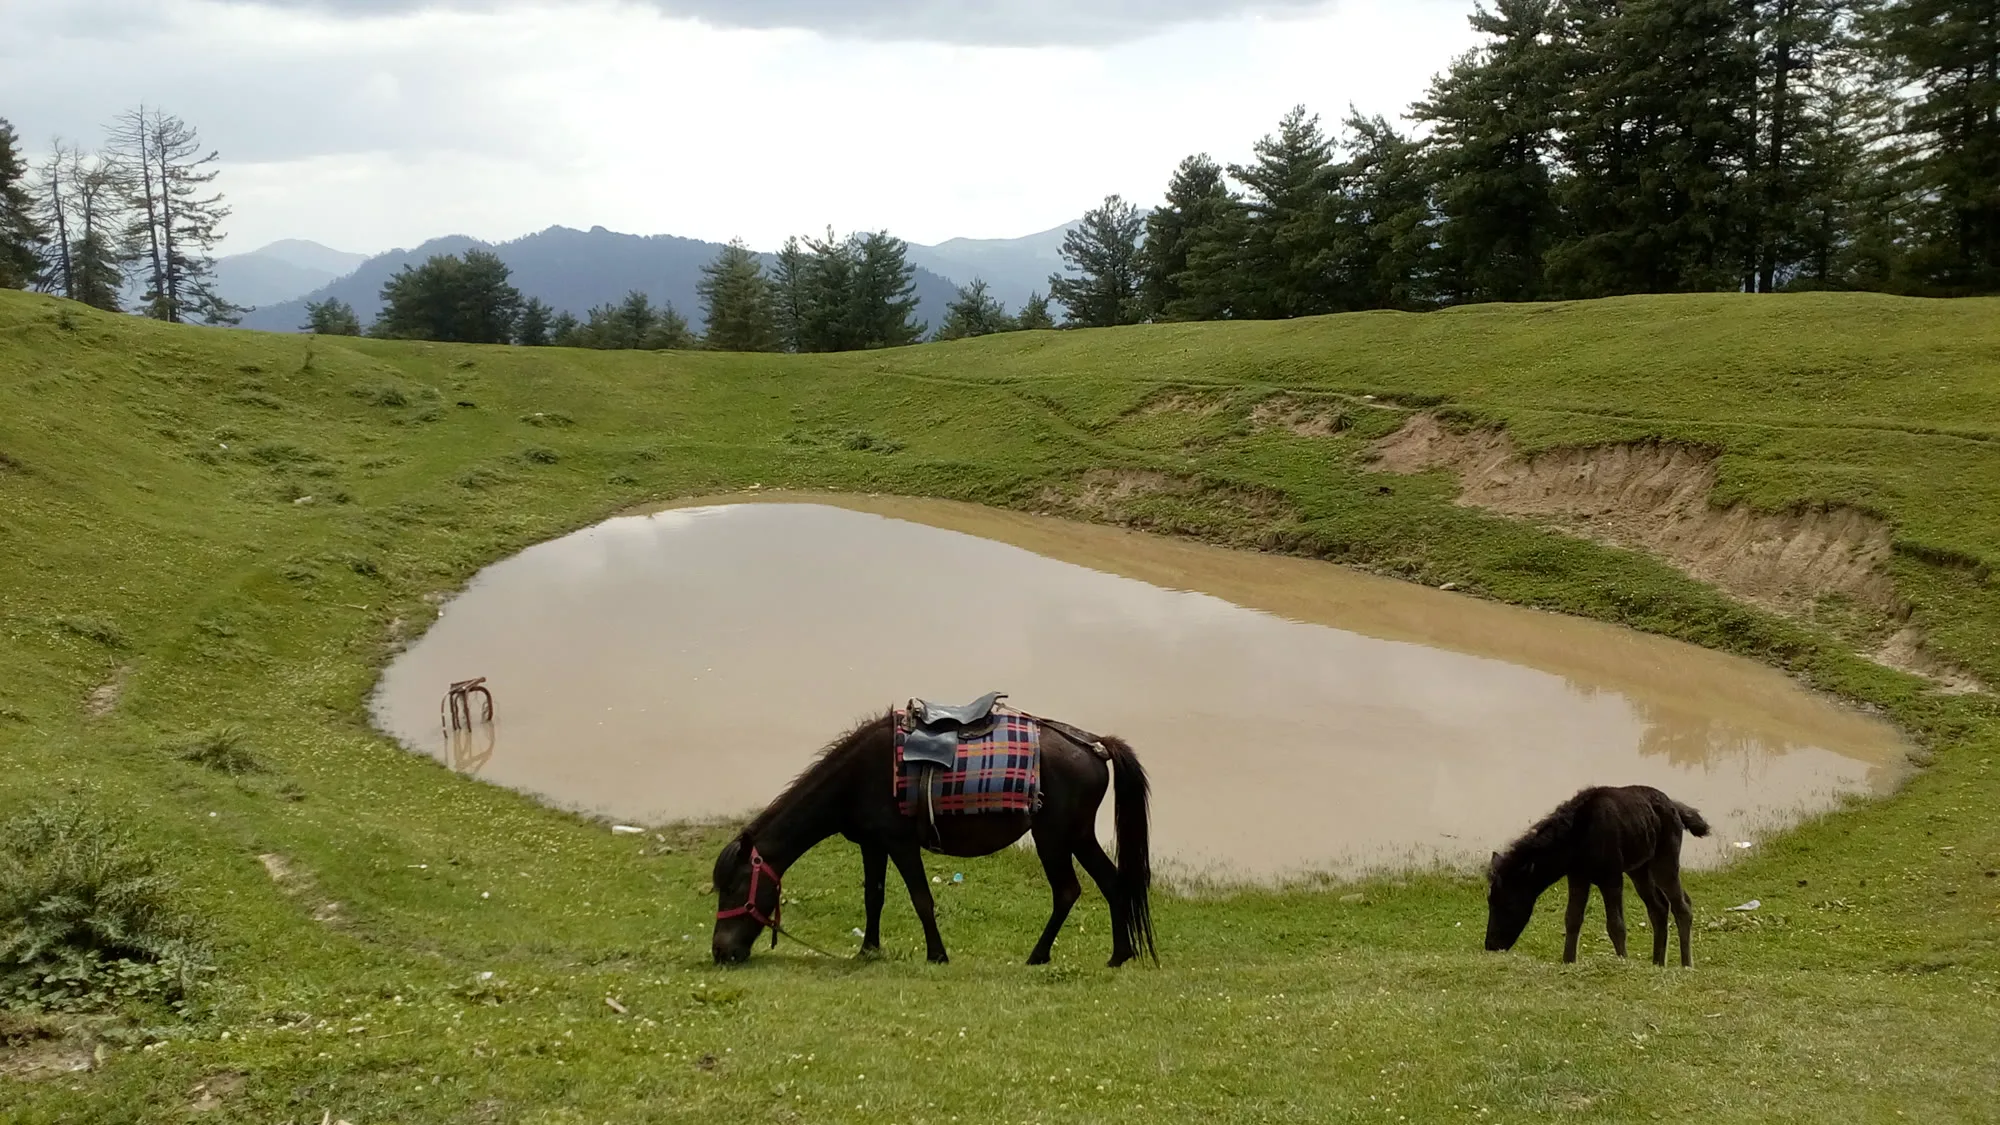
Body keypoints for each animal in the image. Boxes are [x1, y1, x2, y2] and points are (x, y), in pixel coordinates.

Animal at [710, 711, 1156, 968]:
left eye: (734, 888)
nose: (720, 951)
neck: (855, 778)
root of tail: (1095, 746)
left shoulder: (901, 843)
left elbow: (921, 898)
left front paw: (937, 954)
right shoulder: (872, 844)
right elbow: (874, 897)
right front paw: (868, 950)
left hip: (1053, 837)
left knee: (1067, 891)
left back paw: (1037, 956)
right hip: (1078, 835)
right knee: (1112, 883)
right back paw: (1118, 956)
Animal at [1484, 785, 1711, 967]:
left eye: (1508, 904)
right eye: (1490, 901)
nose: (1491, 945)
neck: (1577, 840)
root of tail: (1675, 807)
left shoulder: (1611, 877)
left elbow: (1616, 925)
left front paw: (1622, 961)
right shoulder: (1578, 877)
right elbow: (1572, 918)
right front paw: (1568, 961)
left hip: (1665, 861)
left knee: (1682, 905)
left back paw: (1686, 964)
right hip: (1639, 869)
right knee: (1659, 907)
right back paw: (1657, 963)